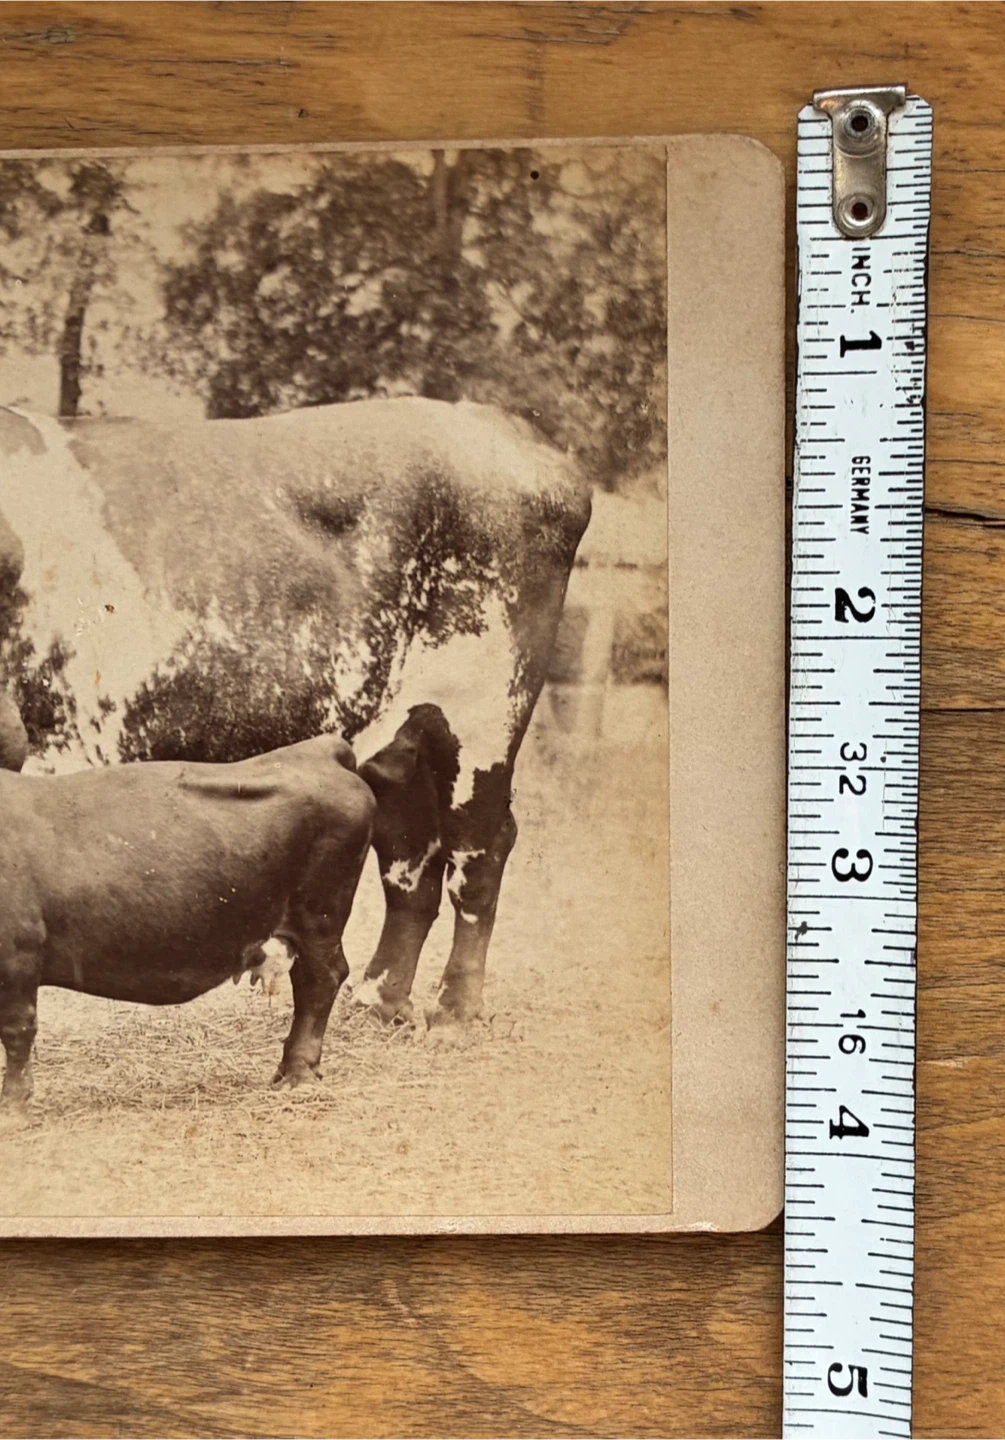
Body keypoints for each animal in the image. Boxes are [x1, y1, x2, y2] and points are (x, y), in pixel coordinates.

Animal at [0, 397, 591, 1036]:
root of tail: (510, 433)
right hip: (400, 741)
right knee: (412, 862)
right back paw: (380, 998)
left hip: (483, 718)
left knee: (478, 852)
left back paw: (454, 1013)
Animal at [0, 734, 375, 1109]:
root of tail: (318, 750)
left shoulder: (18, 954)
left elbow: (17, 1029)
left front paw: (13, 1104)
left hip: (321, 912)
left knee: (321, 980)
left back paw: (299, 1075)